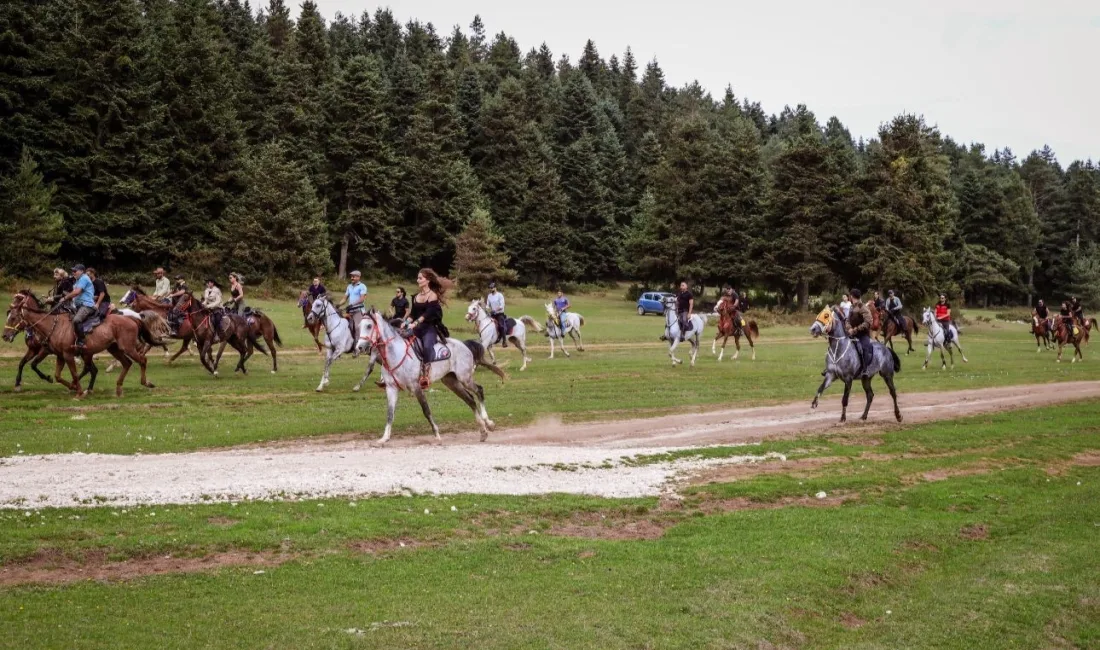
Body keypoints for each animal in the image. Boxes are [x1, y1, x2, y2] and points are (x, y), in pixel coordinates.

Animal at [12, 294, 160, 395]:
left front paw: (78, 390)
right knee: (126, 363)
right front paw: (73, 387)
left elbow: (74, 373)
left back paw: (146, 382)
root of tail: (134, 319)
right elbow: (58, 376)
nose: (7, 335)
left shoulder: (67, 354)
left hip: (127, 347)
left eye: (12, 316)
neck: (54, 326)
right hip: (113, 348)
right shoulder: (60, 355)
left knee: (142, 360)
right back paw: (118, 388)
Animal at [354, 307, 503, 444]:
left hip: (464, 378)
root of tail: (464, 344)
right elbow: (390, 414)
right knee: (470, 400)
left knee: (479, 390)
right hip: (451, 381)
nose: (359, 347)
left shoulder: (416, 387)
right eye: (359, 326)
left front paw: (437, 434)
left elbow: (426, 410)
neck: (395, 353)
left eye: (369, 326)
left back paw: (489, 423)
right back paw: (483, 431)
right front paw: (385, 437)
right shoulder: (391, 388)